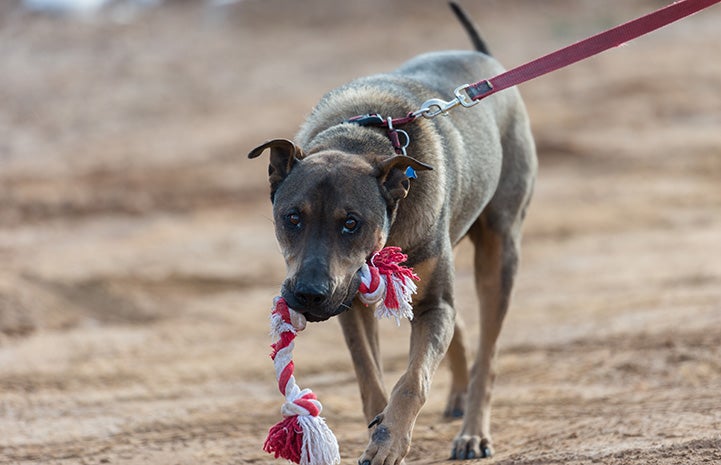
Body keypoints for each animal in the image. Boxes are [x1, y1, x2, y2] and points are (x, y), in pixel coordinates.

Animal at [248, 2, 536, 460]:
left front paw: (390, 439)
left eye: (351, 222)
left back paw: (472, 432)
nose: (308, 293)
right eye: (292, 217)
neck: (358, 142)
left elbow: (413, 379)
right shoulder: (351, 303)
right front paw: (378, 425)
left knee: (487, 354)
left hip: (500, 248)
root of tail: (486, 59)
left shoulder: (432, 305)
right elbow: (369, 375)